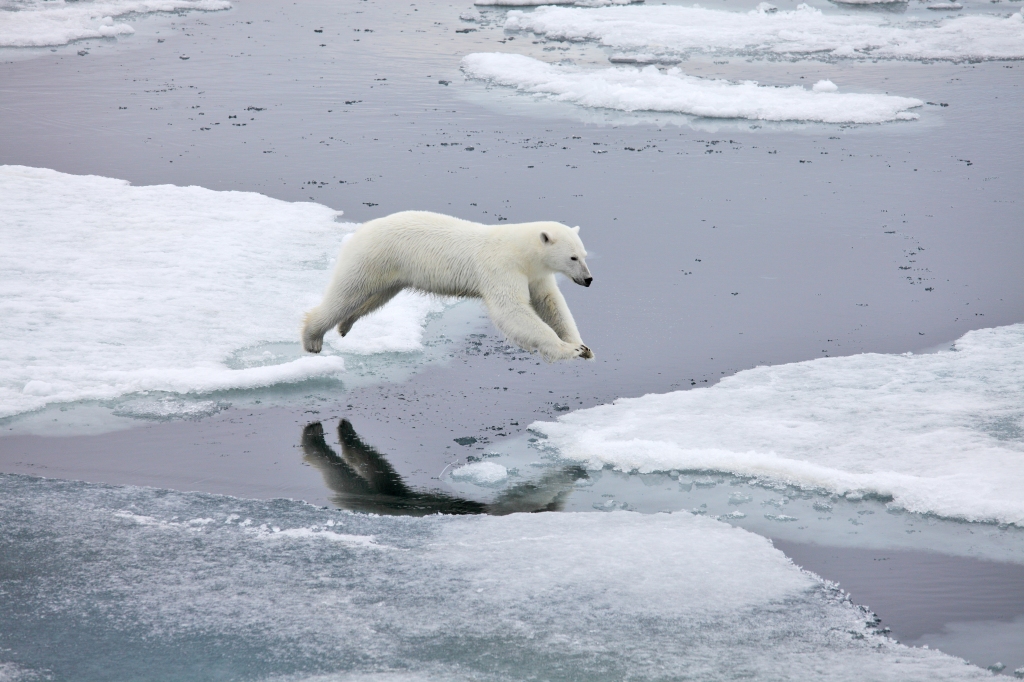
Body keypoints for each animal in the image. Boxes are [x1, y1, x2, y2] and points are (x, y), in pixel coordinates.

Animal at [302, 210, 594, 361]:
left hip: (391, 272)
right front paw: (568, 349)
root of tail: (360, 230)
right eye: (573, 257)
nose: (588, 279)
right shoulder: (501, 268)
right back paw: (312, 338)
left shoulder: (535, 274)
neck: (521, 251)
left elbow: (550, 303)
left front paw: (583, 347)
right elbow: (512, 310)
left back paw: (345, 325)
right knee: (346, 293)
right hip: (372, 257)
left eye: (584, 255)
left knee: (374, 298)